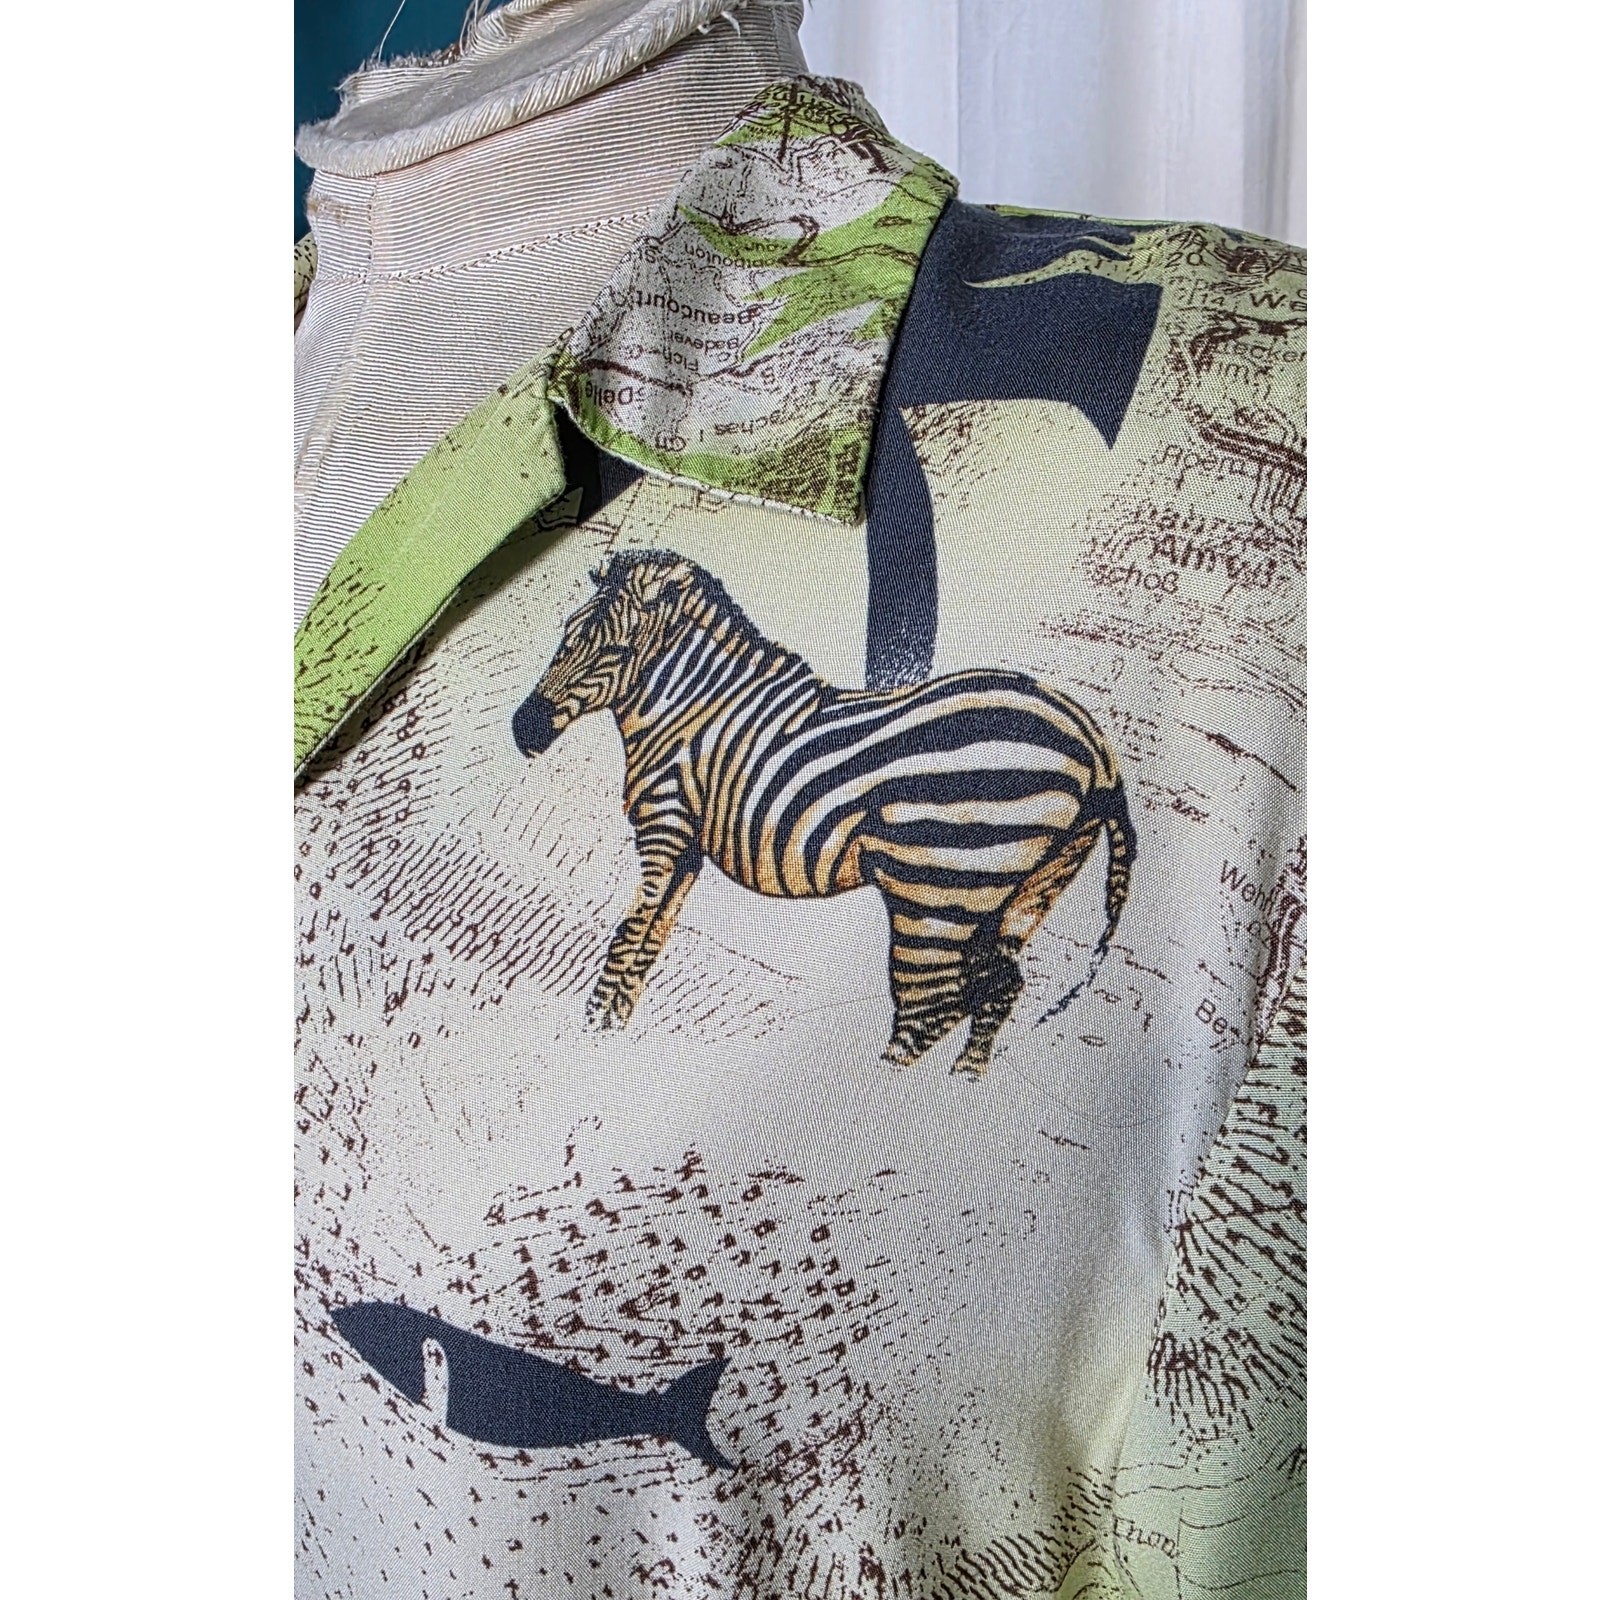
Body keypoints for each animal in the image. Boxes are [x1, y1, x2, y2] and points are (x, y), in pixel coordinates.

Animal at [511, 551, 1135, 1077]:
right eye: (565, 633)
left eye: (613, 652)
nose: (524, 731)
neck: (688, 711)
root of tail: (1095, 748)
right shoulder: (687, 845)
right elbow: (649, 937)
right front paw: (608, 1027)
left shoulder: (664, 824)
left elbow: (629, 932)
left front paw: (594, 1025)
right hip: (1023, 890)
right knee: (996, 989)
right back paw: (961, 1087)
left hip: (935, 893)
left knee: (930, 1006)